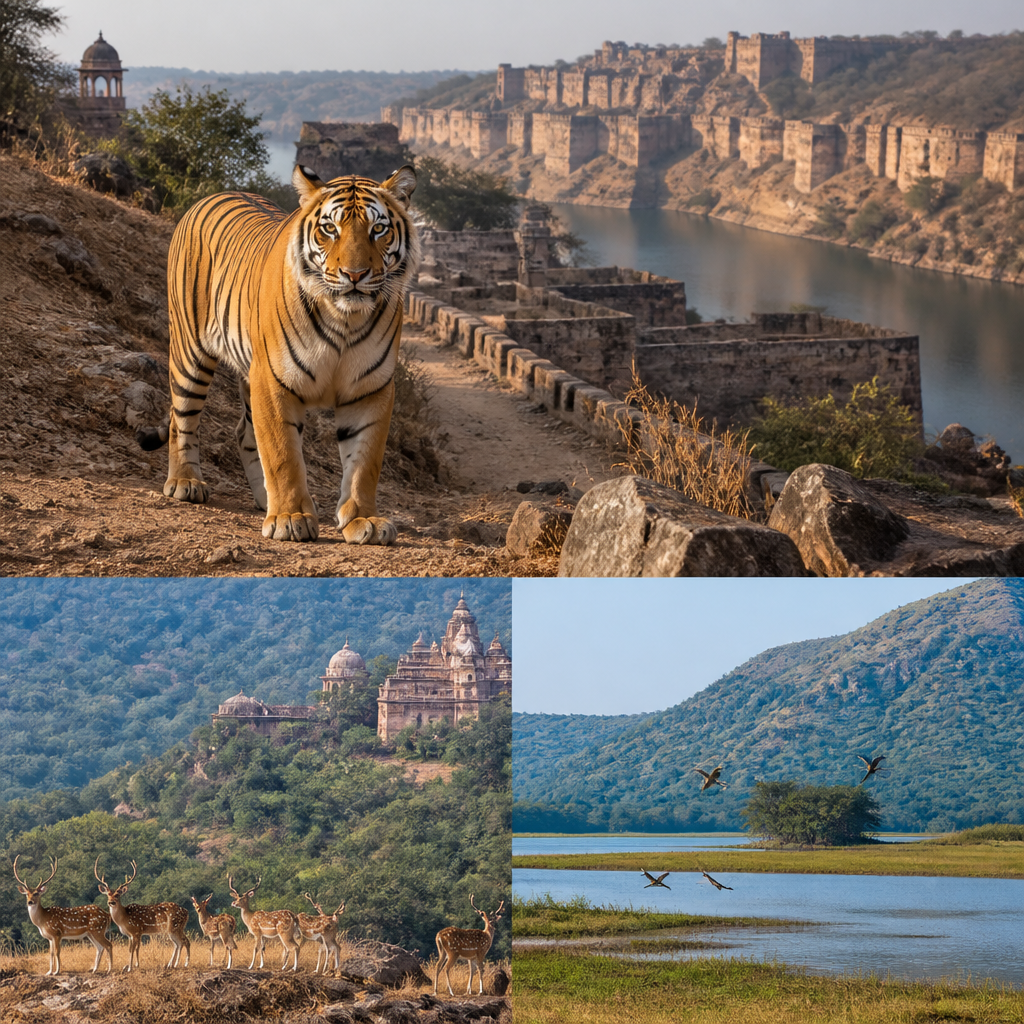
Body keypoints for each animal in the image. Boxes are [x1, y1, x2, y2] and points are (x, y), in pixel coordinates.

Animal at [138, 163, 420, 544]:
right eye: (330, 229)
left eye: (378, 229)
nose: (355, 275)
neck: (345, 319)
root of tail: (210, 196)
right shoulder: (273, 381)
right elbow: (283, 454)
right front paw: (290, 517)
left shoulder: (370, 388)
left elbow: (365, 461)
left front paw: (364, 520)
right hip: (190, 353)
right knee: (181, 417)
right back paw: (185, 482)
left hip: (246, 371)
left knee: (243, 433)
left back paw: (262, 499)